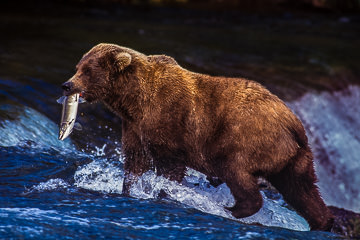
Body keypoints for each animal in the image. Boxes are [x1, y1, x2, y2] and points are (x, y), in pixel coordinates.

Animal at [62, 43, 334, 231]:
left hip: (246, 138)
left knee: (237, 172)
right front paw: (129, 189)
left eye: (87, 70)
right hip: (295, 158)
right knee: (302, 189)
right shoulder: (133, 128)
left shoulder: (168, 122)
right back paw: (321, 222)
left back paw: (232, 208)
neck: (133, 101)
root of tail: (293, 122)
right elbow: (135, 162)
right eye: (77, 67)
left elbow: (169, 166)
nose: (67, 85)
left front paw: (164, 191)